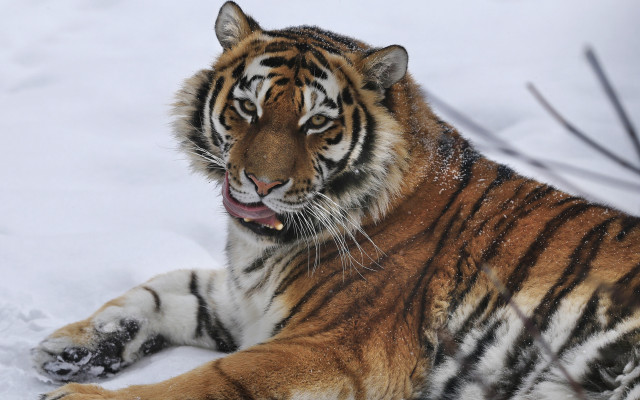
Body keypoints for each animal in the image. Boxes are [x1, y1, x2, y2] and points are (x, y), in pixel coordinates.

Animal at [34, 2, 640, 399]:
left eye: (316, 123)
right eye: (249, 109)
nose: (262, 183)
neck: (264, 247)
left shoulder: (333, 345)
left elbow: (209, 380)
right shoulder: (248, 301)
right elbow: (165, 289)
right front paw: (70, 349)